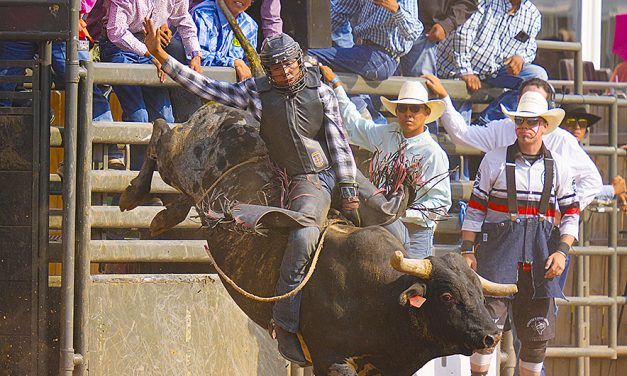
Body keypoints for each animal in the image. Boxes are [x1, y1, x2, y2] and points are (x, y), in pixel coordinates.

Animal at [120, 103, 512, 376]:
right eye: (447, 296)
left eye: (478, 294)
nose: (491, 336)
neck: (381, 294)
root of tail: (227, 113)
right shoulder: (330, 359)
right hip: (179, 158)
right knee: (160, 132)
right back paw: (132, 195)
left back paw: (163, 217)